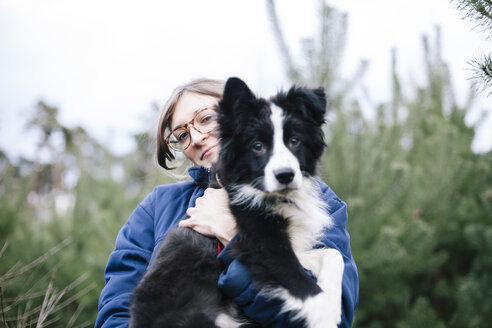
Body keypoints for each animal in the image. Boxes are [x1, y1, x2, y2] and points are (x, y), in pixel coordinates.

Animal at [131, 77, 346, 328]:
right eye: (257, 146)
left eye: (294, 141)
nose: (285, 175)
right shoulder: (260, 243)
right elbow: (298, 279)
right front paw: (324, 313)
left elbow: (334, 254)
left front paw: (333, 301)